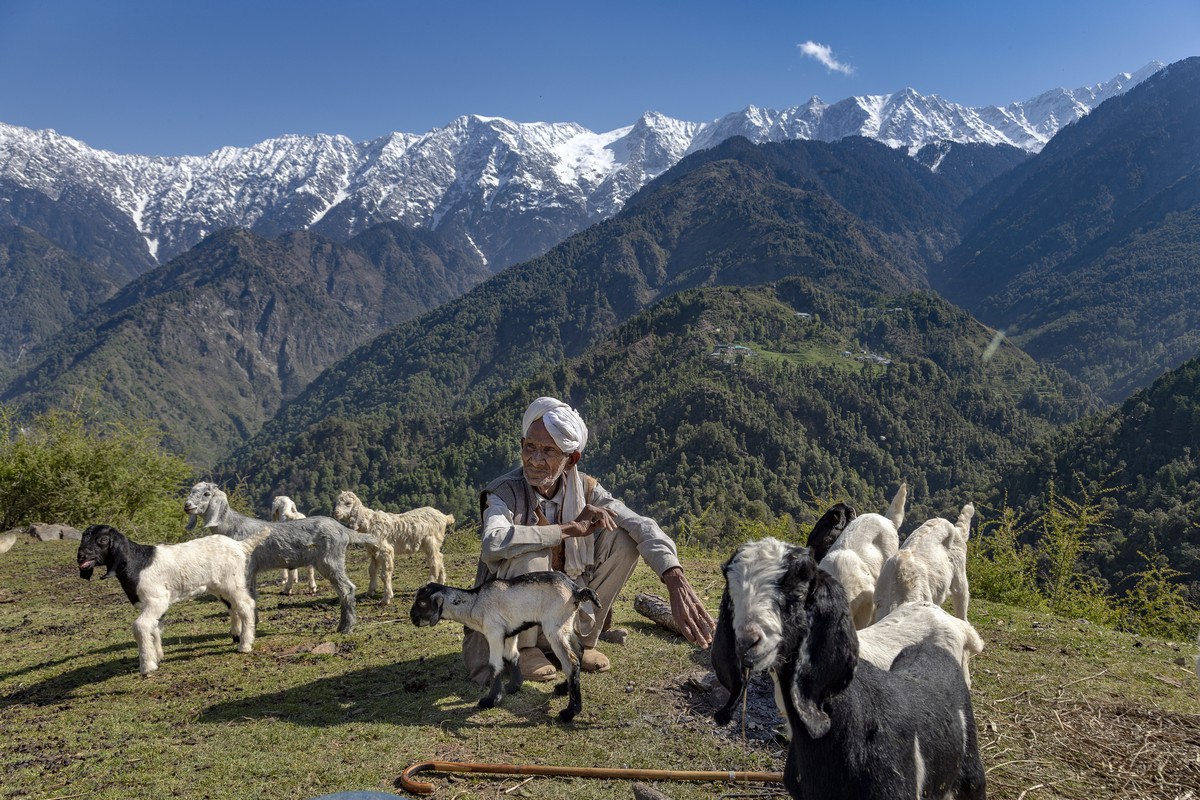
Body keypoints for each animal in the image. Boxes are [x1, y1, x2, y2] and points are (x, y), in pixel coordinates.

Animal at [76, 525, 262, 676]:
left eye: (102, 540)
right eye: (83, 537)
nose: (81, 557)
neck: (138, 563)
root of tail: (239, 545)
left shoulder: (157, 599)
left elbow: (140, 626)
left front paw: (147, 666)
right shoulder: (150, 605)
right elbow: (155, 627)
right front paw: (158, 656)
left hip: (232, 581)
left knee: (246, 605)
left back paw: (245, 645)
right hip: (220, 586)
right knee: (233, 606)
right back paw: (236, 635)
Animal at [183, 479, 374, 633]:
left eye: (207, 494)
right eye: (191, 491)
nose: (187, 506)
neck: (232, 526)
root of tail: (343, 530)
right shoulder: (251, 571)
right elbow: (252, 595)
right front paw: (254, 622)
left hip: (330, 561)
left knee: (347, 589)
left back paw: (346, 628)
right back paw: (342, 626)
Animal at [412, 573, 600, 724]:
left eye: (422, 602)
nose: (413, 619)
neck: (475, 602)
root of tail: (576, 589)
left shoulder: (494, 632)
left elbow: (495, 665)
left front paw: (491, 700)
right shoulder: (510, 633)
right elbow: (513, 656)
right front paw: (513, 686)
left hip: (553, 628)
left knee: (570, 662)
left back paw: (569, 713)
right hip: (567, 625)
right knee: (579, 650)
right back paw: (562, 688)